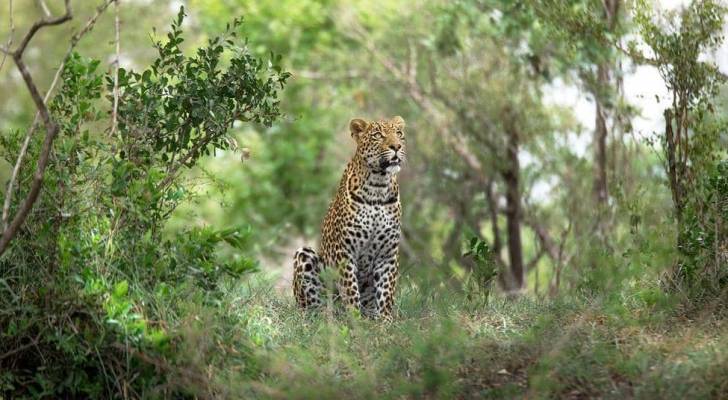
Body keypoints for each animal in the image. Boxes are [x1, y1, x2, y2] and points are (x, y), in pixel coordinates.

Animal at [292, 116, 406, 322]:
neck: (378, 186)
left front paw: (385, 321)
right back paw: (324, 315)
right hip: (304, 255)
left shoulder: (388, 253)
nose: (396, 146)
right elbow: (350, 289)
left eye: (399, 133)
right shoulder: (344, 252)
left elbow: (386, 290)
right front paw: (355, 320)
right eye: (378, 135)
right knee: (312, 306)